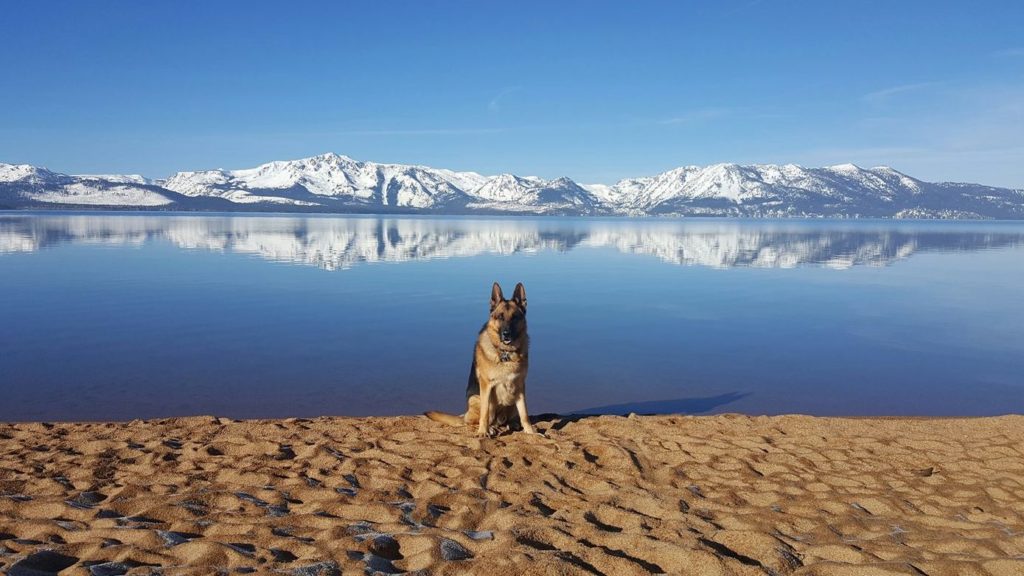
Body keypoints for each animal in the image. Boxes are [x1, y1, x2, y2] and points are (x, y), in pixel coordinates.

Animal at [423, 280, 540, 434]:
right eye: (500, 316)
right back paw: (488, 428)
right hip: (478, 399)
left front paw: (531, 432)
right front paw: (483, 432)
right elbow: (484, 414)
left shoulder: (520, 386)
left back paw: (512, 424)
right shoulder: (486, 386)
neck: (505, 353)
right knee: (474, 421)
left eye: (514, 317)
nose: (506, 334)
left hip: (511, 403)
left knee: (508, 419)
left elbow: (524, 413)